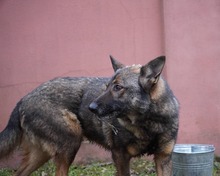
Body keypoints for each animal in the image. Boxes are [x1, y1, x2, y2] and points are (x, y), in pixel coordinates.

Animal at [0, 55, 179, 175]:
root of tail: (23, 100)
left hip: (41, 155)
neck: (149, 124)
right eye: (107, 87)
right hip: (71, 143)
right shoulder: (120, 156)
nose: (90, 107)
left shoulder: (163, 158)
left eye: (118, 87)